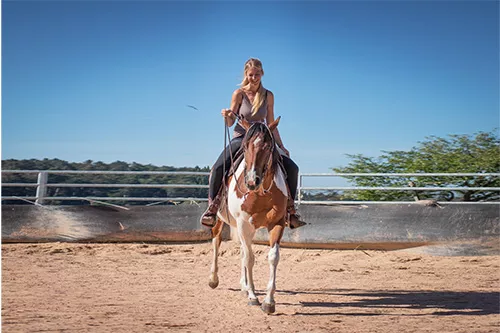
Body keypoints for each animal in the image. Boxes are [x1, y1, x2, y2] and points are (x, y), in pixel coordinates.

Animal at [209, 116, 288, 314]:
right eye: (245, 147)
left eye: (268, 147)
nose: (252, 181)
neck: (260, 193)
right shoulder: (244, 223)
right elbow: (250, 258)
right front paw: (253, 296)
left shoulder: (277, 223)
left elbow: (272, 257)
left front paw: (269, 301)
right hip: (222, 221)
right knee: (216, 241)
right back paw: (213, 279)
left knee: (242, 251)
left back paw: (243, 285)